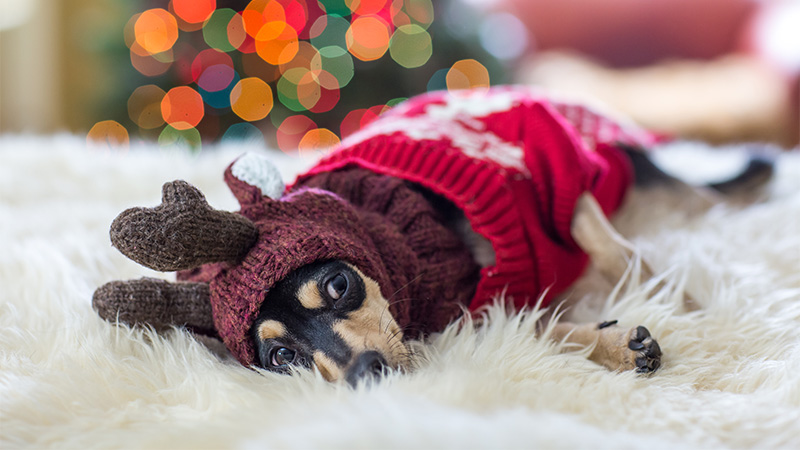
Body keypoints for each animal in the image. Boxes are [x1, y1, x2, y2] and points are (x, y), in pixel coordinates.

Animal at [90, 86, 772, 384]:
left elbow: (616, 252)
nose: (364, 372)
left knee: (697, 195)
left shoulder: (551, 171)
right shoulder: (477, 313)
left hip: (631, 173)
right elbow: (541, 325)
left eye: (339, 284)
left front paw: (680, 305)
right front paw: (611, 344)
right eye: (281, 359)